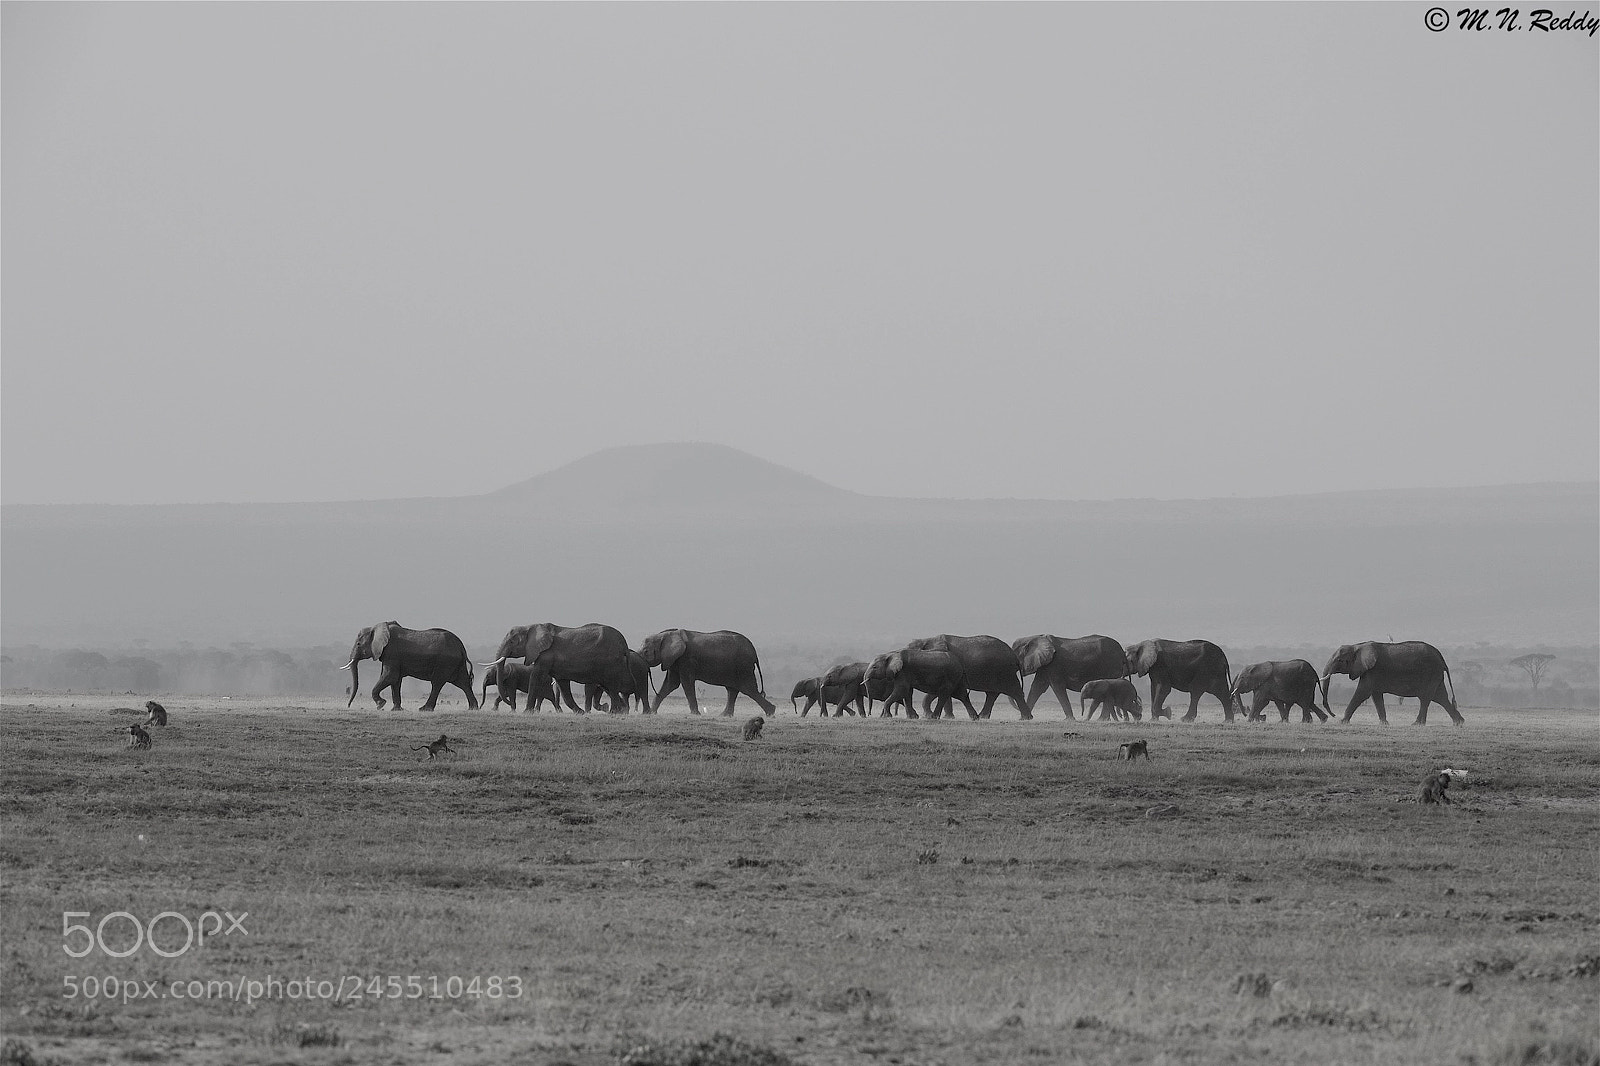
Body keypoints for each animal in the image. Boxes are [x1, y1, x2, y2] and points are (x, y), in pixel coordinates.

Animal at [343, 622, 478, 712]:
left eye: (358, 644)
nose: (348, 706)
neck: (378, 627)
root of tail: (461, 647)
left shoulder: (392, 652)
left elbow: (390, 676)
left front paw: (380, 705)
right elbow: (395, 680)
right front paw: (396, 710)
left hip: (445, 662)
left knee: (437, 683)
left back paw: (424, 709)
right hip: (455, 663)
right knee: (463, 683)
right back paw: (473, 708)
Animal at [487, 623, 633, 714]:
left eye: (512, 642)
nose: (508, 703)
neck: (530, 626)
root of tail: (624, 644)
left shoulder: (545, 655)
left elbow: (536, 676)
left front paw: (526, 712)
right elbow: (563, 685)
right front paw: (579, 713)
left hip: (610, 662)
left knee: (611, 685)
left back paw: (615, 712)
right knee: (608, 686)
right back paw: (621, 711)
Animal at [639, 629, 777, 716]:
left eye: (645, 652)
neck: (667, 634)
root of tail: (754, 652)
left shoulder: (686, 659)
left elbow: (686, 683)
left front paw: (696, 714)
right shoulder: (674, 661)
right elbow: (670, 684)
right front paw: (652, 713)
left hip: (743, 666)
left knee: (747, 689)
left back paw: (771, 712)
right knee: (733, 689)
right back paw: (724, 716)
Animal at [1320, 641, 1463, 725]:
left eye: (1339, 660)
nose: (1333, 715)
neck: (1357, 646)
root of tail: (1441, 657)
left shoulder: (1373, 670)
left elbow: (1362, 692)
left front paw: (1342, 722)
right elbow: (1376, 696)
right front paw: (1384, 724)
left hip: (1430, 672)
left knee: (1426, 698)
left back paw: (1417, 724)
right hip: (1435, 675)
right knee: (1440, 697)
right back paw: (1459, 723)